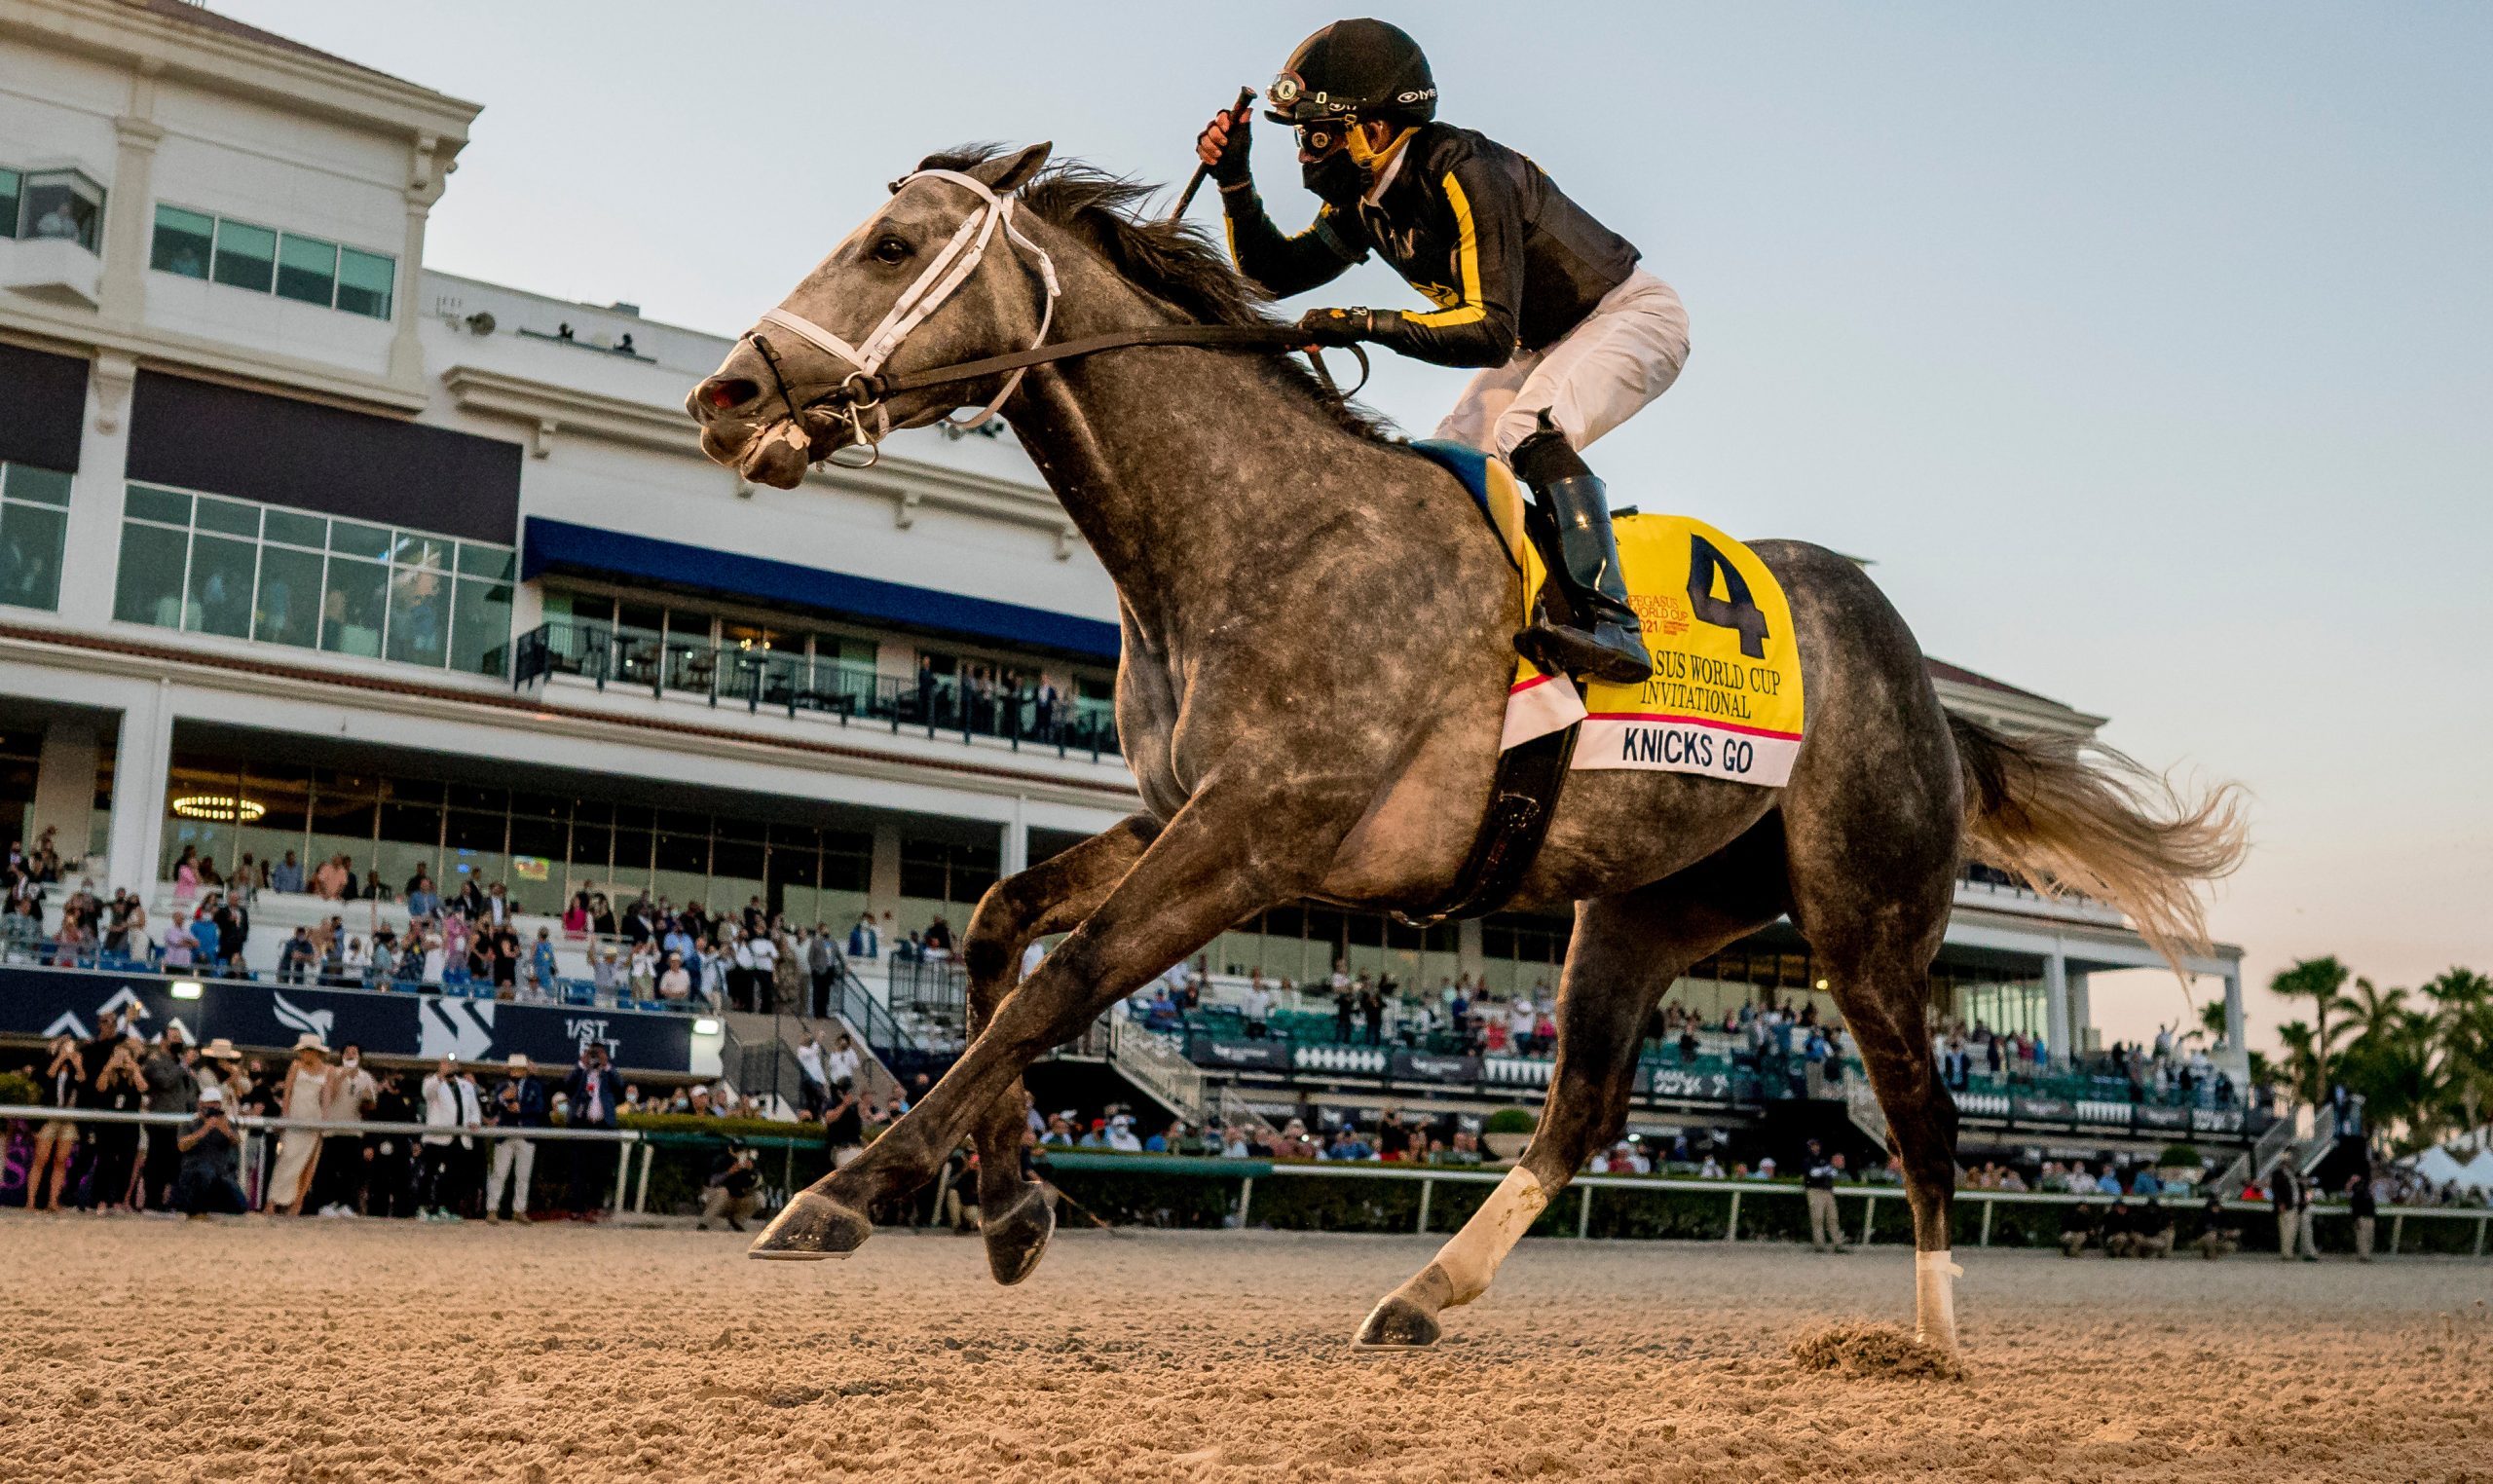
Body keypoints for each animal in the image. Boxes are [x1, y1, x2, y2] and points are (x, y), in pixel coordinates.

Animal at [688, 147, 2244, 1356]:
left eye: (890, 245)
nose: (725, 397)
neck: (1251, 531)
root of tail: (1922, 680)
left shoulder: (1258, 836)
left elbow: (1061, 985)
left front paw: (841, 1198)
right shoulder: (1184, 810)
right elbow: (998, 929)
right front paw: (1011, 1211)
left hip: (1864, 920)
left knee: (1922, 1116)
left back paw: (1929, 1342)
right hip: (1642, 907)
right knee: (1581, 1109)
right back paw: (1423, 1293)